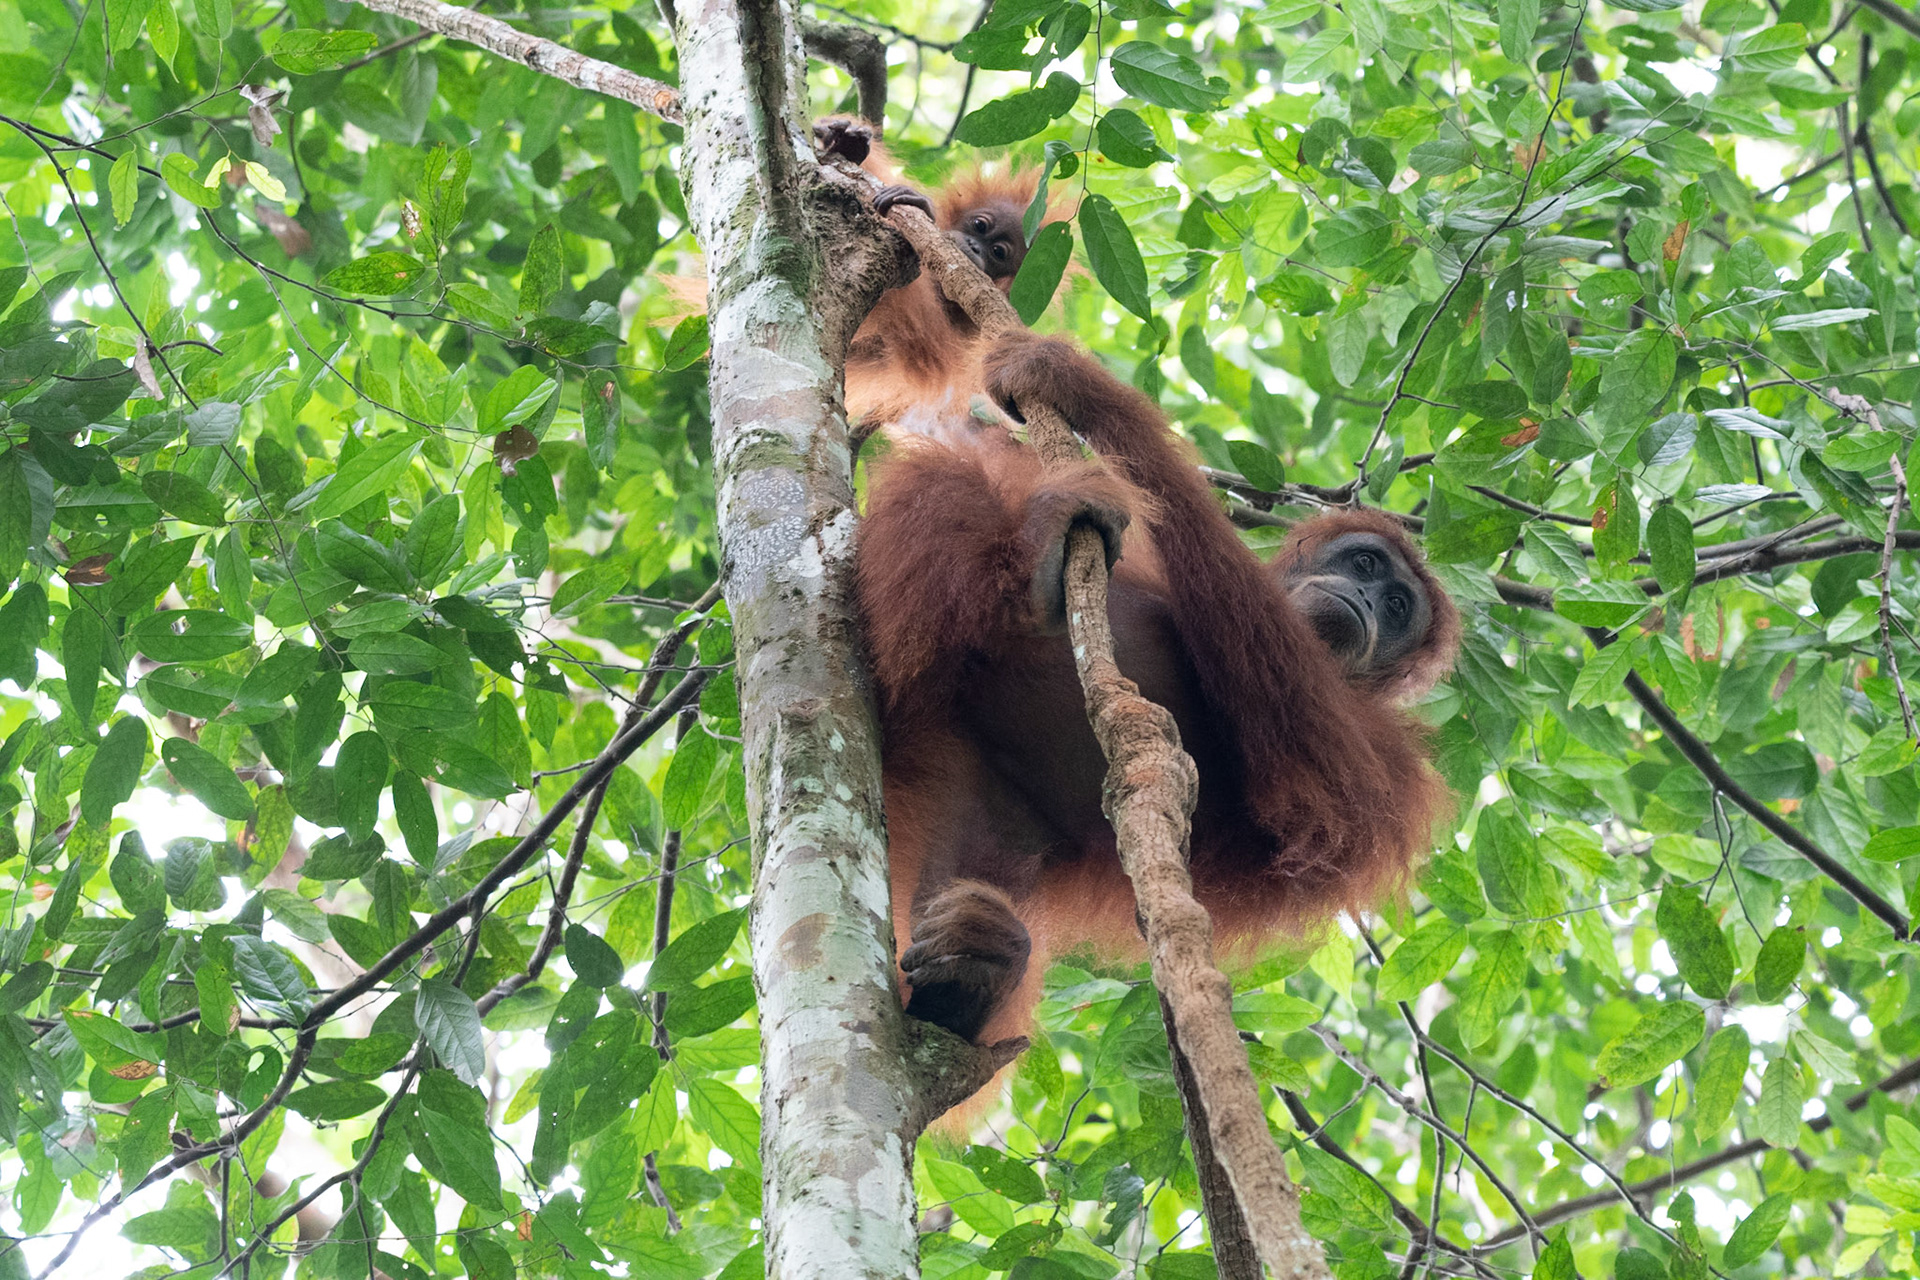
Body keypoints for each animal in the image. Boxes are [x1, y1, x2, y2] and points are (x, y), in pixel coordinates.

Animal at [854, 332, 1460, 1044]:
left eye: (1397, 607)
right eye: (1364, 564)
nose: (1367, 601)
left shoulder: (1396, 767)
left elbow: (1325, 803)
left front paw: (1091, 394)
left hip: (977, 805)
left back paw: (971, 976)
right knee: (947, 488)